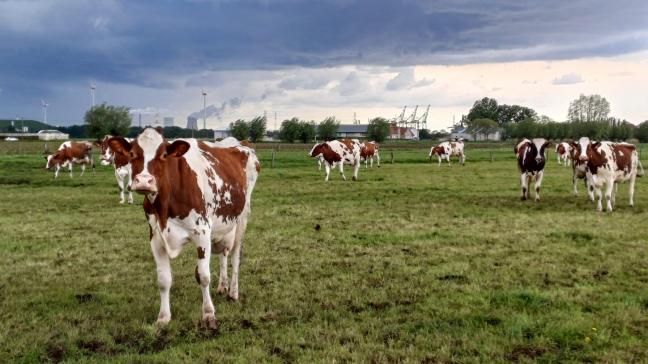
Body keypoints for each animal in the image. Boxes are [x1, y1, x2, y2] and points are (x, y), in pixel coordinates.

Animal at [105, 127, 260, 328]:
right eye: (132, 154)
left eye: (164, 154)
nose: (144, 181)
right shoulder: (156, 237)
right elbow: (164, 279)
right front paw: (163, 317)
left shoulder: (202, 232)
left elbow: (203, 275)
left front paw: (209, 314)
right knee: (224, 253)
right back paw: (222, 286)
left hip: (241, 217)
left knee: (235, 255)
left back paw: (233, 292)